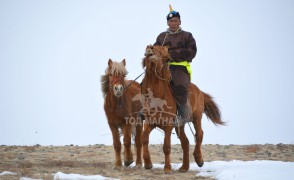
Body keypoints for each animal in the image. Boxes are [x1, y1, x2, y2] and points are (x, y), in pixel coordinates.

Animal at [140, 45, 225, 173]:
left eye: (161, 50)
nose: (150, 47)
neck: (158, 96)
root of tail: (199, 91)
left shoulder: (168, 126)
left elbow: (166, 146)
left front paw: (167, 168)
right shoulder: (150, 123)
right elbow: (144, 139)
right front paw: (148, 163)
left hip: (196, 118)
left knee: (199, 134)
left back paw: (199, 159)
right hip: (180, 125)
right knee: (185, 142)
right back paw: (184, 167)